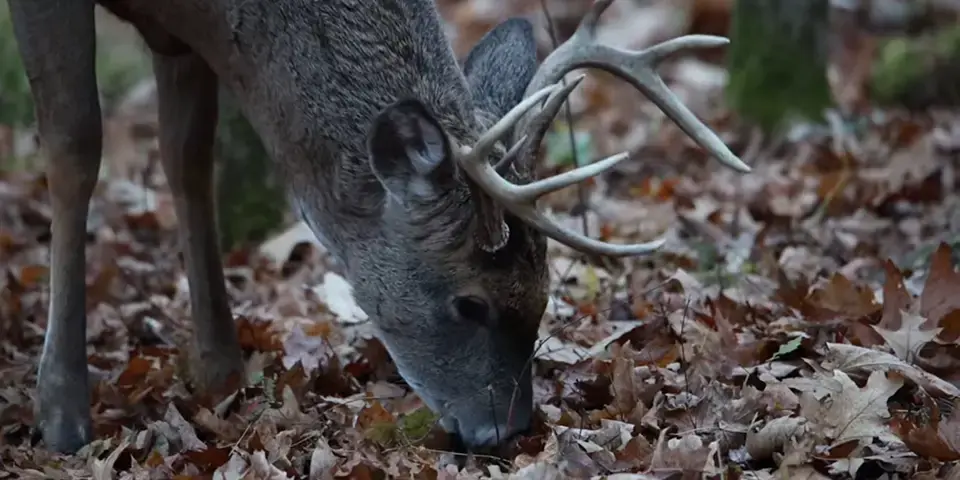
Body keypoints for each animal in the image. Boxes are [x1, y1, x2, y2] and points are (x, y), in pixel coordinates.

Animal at [7, 0, 752, 454]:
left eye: (545, 293)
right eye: (469, 302)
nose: (506, 431)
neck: (210, 12)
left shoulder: (179, 36)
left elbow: (187, 157)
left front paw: (220, 370)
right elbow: (75, 145)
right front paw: (62, 413)